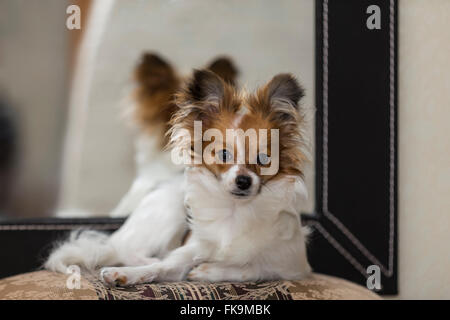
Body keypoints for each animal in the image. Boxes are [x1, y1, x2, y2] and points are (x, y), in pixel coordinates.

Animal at [46, 57, 312, 284]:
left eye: (264, 158)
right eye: (223, 154)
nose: (244, 181)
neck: (235, 212)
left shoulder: (293, 266)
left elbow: (252, 268)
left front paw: (209, 271)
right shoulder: (187, 251)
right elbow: (162, 267)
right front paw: (127, 274)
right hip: (170, 208)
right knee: (126, 250)